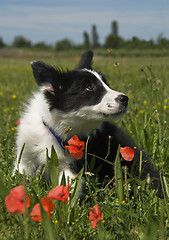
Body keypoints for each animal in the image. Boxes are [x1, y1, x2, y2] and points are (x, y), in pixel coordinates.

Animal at [13, 50, 162, 195]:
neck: (54, 128)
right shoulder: (24, 157)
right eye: (89, 87)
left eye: (106, 83)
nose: (125, 99)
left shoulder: (73, 167)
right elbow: (20, 177)